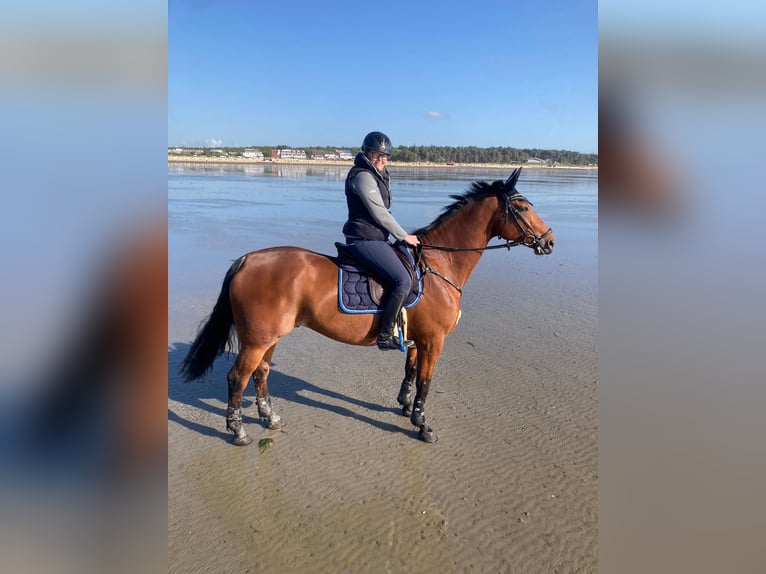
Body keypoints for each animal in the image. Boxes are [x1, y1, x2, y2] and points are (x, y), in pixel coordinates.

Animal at [180, 166, 552, 446]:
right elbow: (426, 382)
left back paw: (269, 418)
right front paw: (423, 425)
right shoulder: (434, 340)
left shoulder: (418, 339)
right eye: (522, 208)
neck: (439, 265)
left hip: (268, 338)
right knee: (237, 377)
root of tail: (247, 259)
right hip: (257, 339)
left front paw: (406, 409)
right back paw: (238, 430)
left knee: (260, 374)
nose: (549, 241)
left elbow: (410, 373)